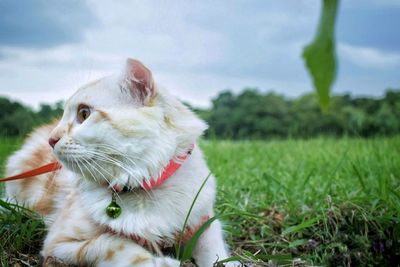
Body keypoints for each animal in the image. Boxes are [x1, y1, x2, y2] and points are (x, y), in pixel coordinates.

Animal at [4, 59, 233, 267]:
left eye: (84, 113)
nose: (51, 140)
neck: (144, 186)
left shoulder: (204, 223)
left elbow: (216, 251)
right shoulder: (58, 243)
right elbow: (115, 244)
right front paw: (162, 262)